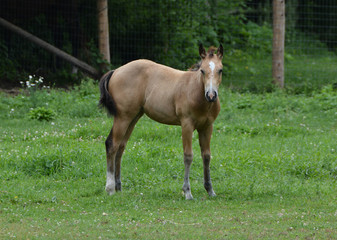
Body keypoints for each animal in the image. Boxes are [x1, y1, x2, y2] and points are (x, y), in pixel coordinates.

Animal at [98, 44, 222, 200]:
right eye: (202, 70)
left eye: (220, 70)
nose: (211, 95)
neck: (196, 92)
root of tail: (116, 71)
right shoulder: (187, 125)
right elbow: (188, 156)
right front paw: (187, 191)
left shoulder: (207, 127)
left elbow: (206, 156)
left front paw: (210, 190)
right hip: (122, 117)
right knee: (112, 144)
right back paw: (110, 188)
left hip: (133, 117)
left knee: (121, 146)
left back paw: (118, 187)